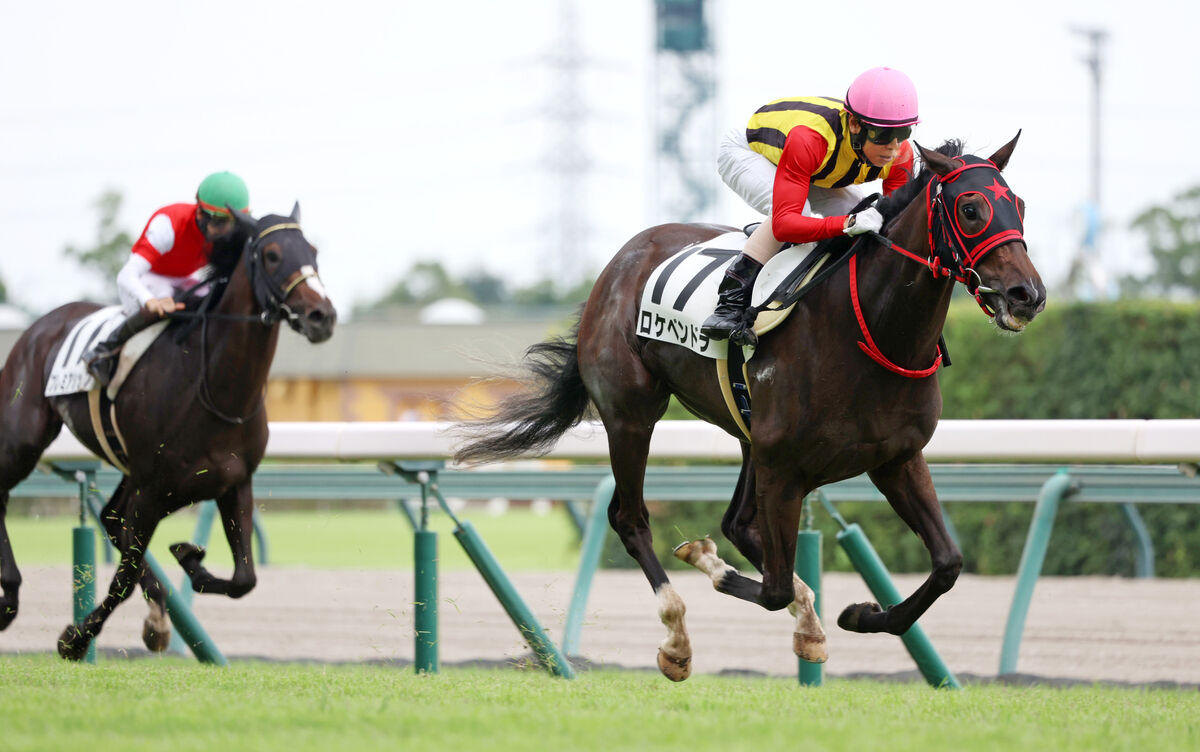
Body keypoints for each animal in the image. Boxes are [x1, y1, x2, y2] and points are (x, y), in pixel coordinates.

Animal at [0, 203, 338, 657]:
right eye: (271, 255)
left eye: (313, 251)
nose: (322, 315)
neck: (212, 388)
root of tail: (42, 323)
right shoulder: (153, 491)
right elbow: (123, 580)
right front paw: (74, 638)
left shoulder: (233, 483)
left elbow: (244, 579)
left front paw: (187, 558)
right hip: (24, 436)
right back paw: (10, 597)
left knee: (110, 518)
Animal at [453, 136, 1046, 681]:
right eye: (970, 207)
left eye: (1019, 202)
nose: (1028, 295)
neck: (870, 329)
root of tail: (620, 262)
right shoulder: (784, 467)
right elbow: (773, 587)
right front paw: (712, 568)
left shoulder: (894, 459)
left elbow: (947, 564)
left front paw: (858, 614)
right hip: (632, 416)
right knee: (631, 517)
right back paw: (678, 639)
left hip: (746, 437)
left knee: (737, 525)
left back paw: (803, 622)